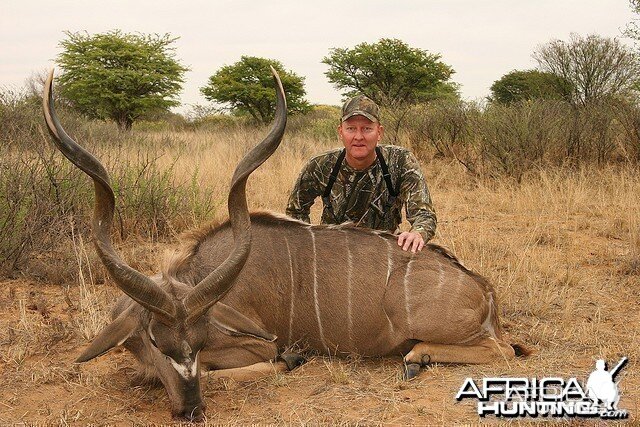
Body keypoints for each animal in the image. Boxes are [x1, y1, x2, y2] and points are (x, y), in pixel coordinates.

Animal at [42, 67, 528, 422]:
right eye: (157, 342)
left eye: (196, 343)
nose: (191, 410)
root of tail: (484, 289)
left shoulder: (252, 345)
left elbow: (234, 368)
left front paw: (290, 361)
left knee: (501, 349)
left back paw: (417, 356)